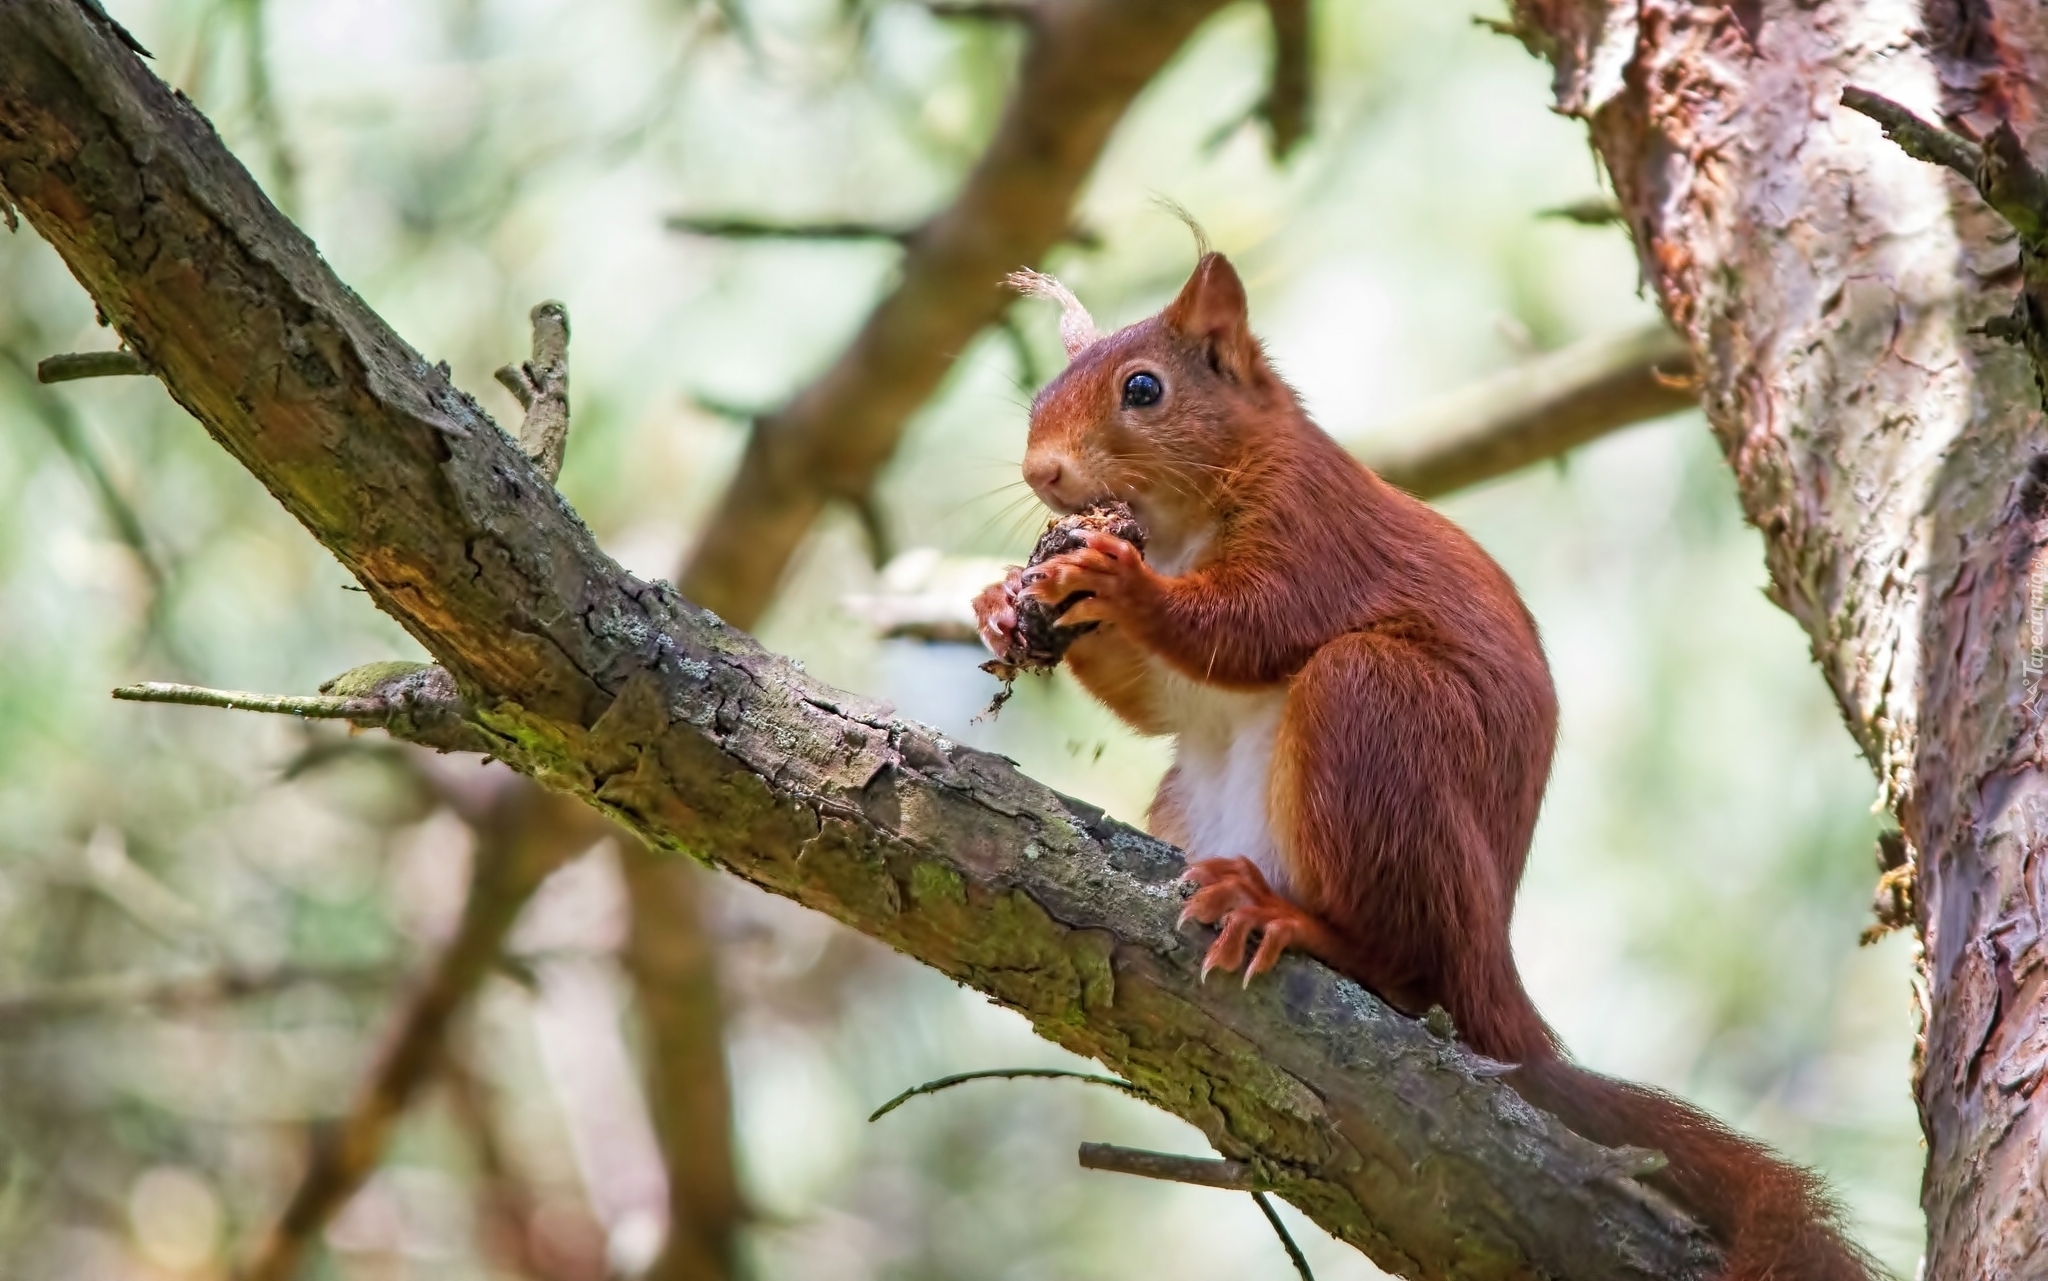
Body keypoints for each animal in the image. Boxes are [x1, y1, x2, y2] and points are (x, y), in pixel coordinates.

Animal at [983, 252, 1875, 1278]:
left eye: (1143, 389)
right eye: (1038, 395)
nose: (1041, 471)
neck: (1176, 525)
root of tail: (1494, 968)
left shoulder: (1313, 532)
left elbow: (1246, 627)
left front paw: (1120, 584)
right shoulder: (1185, 679)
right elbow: (1159, 699)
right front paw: (1000, 604)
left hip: (1373, 712)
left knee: (1408, 969)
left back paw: (1284, 916)